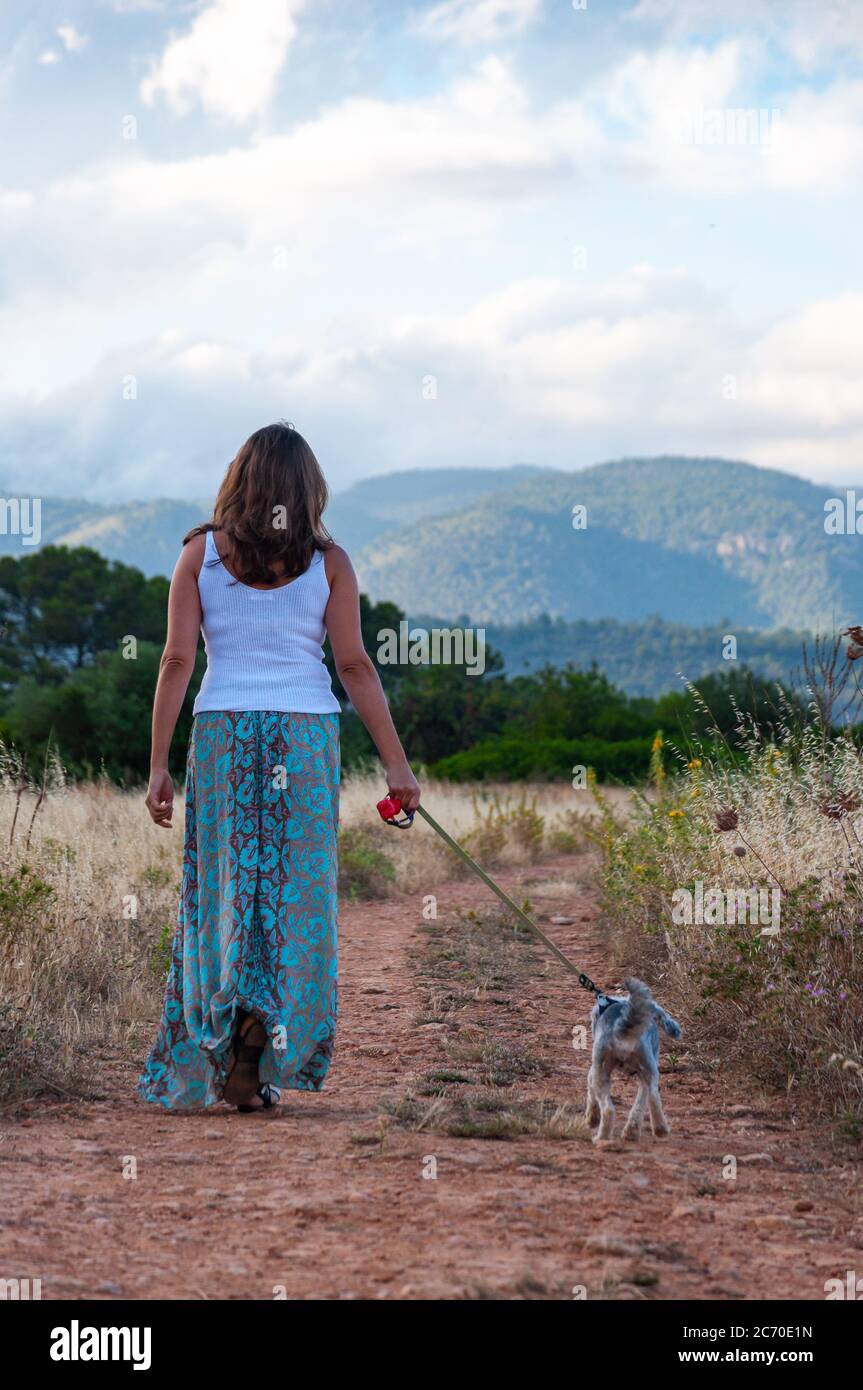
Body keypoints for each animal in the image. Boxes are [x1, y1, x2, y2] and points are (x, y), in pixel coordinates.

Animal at [586, 978, 680, 1139]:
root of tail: (623, 1029)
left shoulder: (594, 1069)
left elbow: (590, 1089)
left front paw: (592, 1119)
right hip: (647, 1070)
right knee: (650, 1097)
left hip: (605, 1070)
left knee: (611, 1108)